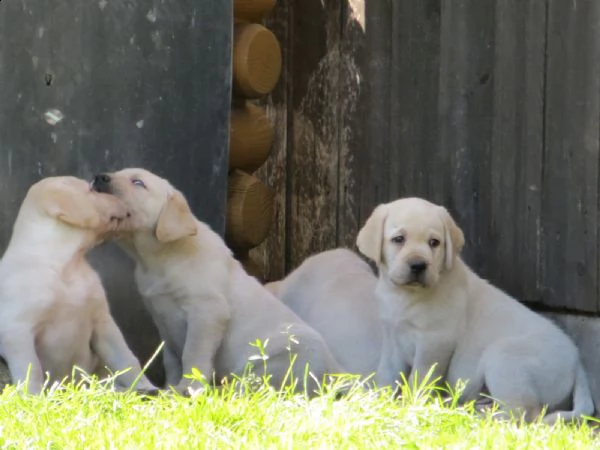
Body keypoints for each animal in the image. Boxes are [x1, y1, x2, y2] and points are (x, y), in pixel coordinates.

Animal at [0, 177, 158, 394]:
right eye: (92, 189)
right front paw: (32, 396)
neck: (66, 265)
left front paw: (144, 386)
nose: (120, 198)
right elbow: (31, 370)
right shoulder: (17, 331)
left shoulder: (103, 322)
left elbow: (126, 358)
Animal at [89, 169, 342, 394]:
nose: (98, 177)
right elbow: (172, 360)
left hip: (286, 353)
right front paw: (169, 389)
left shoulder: (207, 313)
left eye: (138, 182)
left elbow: (192, 353)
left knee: (257, 386)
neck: (159, 259)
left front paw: (187, 388)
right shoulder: (163, 320)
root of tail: (335, 373)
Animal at [356, 199, 596, 424]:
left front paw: (413, 407)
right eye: (398, 239)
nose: (418, 265)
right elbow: (387, 375)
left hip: (503, 356)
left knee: (524, 413)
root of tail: (577, 365)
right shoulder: (392, 339)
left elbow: (420, 378)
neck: (404, 295)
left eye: (434, 243)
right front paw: (378, 404)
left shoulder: (434, 343)